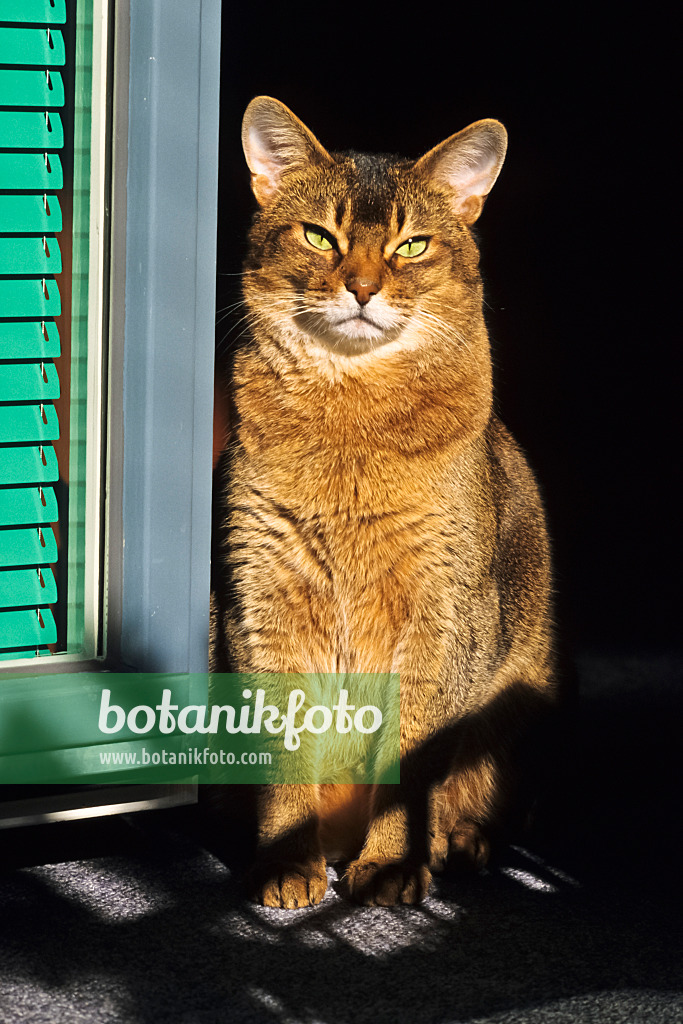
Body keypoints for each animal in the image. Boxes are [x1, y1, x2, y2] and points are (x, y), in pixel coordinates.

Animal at [210, 96, 565, 909]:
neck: (350, 417)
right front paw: (285, 862)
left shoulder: (443, 615)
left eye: (411, 245)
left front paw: (394, 863)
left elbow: (408, 755)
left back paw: (456, 842)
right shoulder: (261, 601)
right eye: (320, 235)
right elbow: (284, 750)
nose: (363, 288)